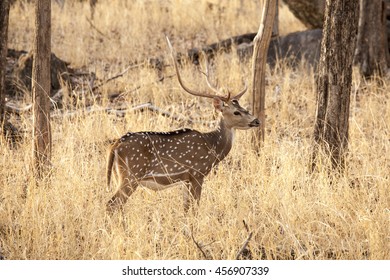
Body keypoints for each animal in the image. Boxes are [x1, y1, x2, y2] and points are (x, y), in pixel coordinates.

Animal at [105, 37, 260, 212]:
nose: (256, 121)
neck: (212, 147)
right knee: (111, 204)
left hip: (120, 176)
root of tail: (115, 145)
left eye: (244, 108)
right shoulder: (198, 173)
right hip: (131, 175)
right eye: (236, 112)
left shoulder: (186, 179)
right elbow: (194, 208)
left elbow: (185, 208)